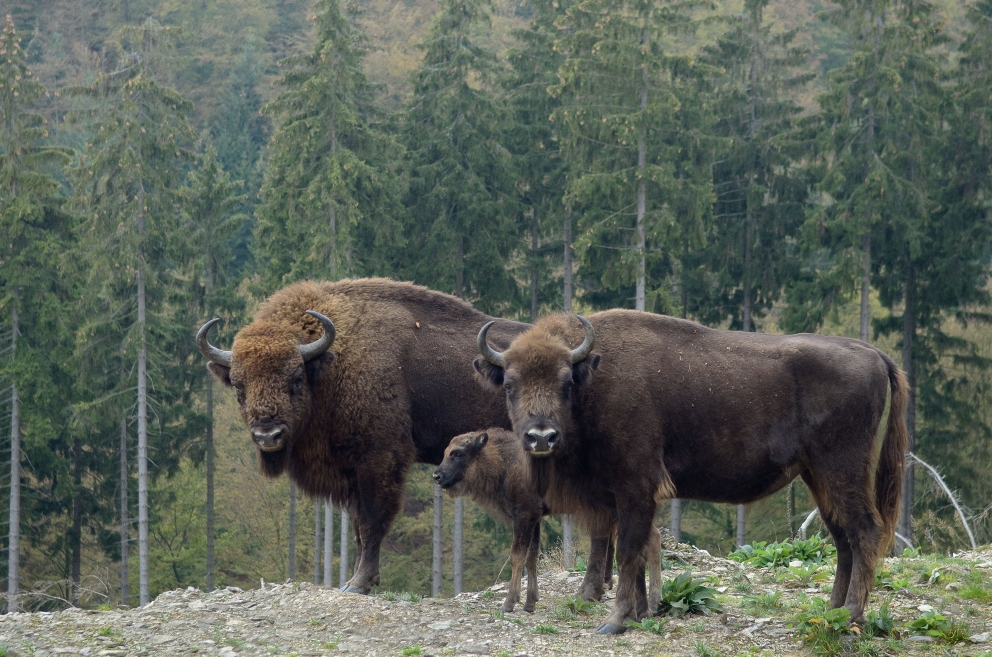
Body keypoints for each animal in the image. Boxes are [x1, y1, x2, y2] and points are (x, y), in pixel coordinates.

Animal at [195, 278, 536, 596]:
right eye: (239, 386)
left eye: (296, 378)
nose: (268, 434)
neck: (334, 362)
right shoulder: (351, 474)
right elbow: (359, 529)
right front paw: (356, 580)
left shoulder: (378, 461)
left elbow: (372, 522)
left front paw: (358, 584)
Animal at [432, 428, 660, 612]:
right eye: (445, 452)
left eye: (458, 453)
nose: (437, 476)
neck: (506, 461)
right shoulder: (535, 519)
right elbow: (532, 557)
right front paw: (530, 603)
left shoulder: (524, 516)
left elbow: (517, 556)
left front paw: (509, 603)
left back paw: (653, 603)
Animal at [472, 312, 908, 632]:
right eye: (509, 384)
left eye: (565, 384)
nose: (540, 437)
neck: (595, 379)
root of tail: (872, 352)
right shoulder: (622, 497)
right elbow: (637, 551)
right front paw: (640, 614)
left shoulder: (635, 486)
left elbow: (629, 550)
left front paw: (615, 622)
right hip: (817, 476)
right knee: (843, 538)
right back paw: (831, 612)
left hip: (842, 469)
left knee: (864, 531)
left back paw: (851, 616)